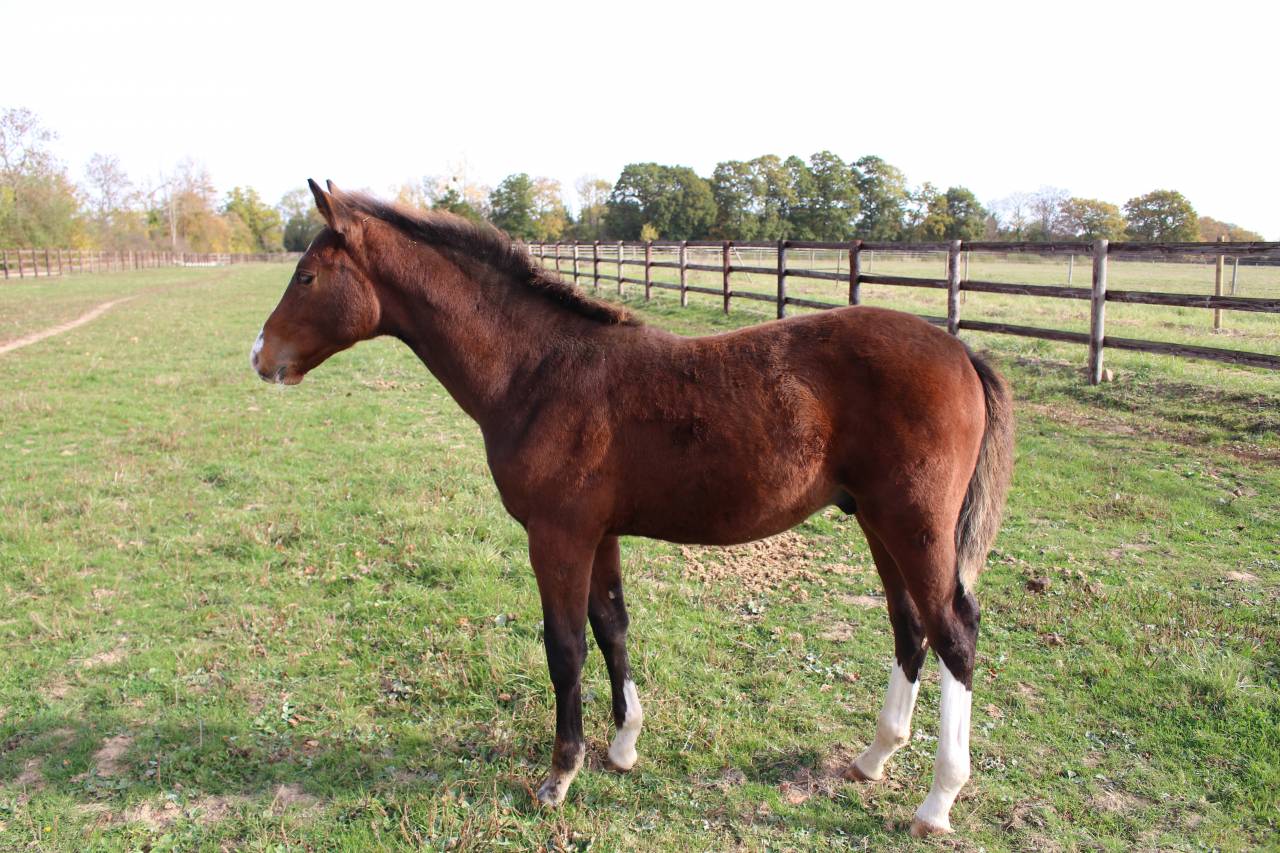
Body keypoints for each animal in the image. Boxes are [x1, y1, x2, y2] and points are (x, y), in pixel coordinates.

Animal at [251, 180, 1014, 836]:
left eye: (307, 277)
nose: (261, 357)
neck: (537, 371)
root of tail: (960, 350)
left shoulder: (556, 535)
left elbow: (565, 647)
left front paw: (560, 775)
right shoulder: (600, 533)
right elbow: (612, 626)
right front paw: (622, 745)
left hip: (915, 527)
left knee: (954, 635)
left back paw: (937, 801)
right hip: (881, 524)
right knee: (910, 629)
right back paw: (873, 758)